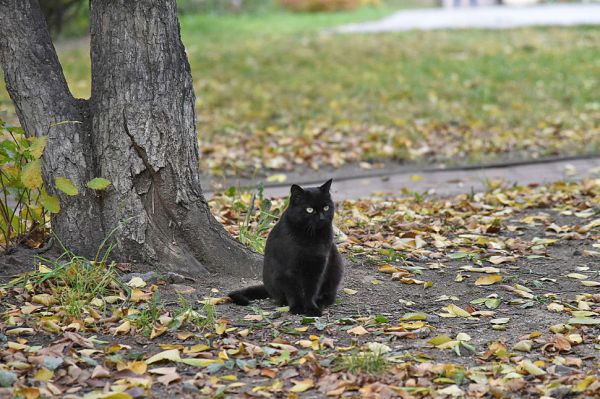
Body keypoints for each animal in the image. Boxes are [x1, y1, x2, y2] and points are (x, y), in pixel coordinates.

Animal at [229, 180, 342, 318]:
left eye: (326, 207)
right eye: (309, 210)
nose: (321, 218)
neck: (310, 237)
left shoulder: (318, 266)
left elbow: (311, 290)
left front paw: (311, 308)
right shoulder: (288, 269)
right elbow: (293, 291)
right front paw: (297, 308)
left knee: (329, 295)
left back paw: (322, 301)